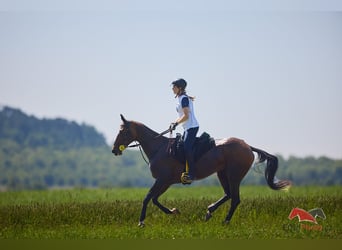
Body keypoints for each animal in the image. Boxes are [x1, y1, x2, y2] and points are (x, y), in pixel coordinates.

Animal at [111, 115, 292, 227]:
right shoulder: (165, 182)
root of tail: (247, 146)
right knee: (228, 194)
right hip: (222, 174)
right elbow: (154, 199)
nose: (114, 150)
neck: (159, 148)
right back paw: (209, 211)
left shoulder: (163, 180)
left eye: (123, 131)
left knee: (235, 199)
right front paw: (173, 211)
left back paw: (225, 222)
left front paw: (141, 222)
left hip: (234, 176)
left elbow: (148, 198)